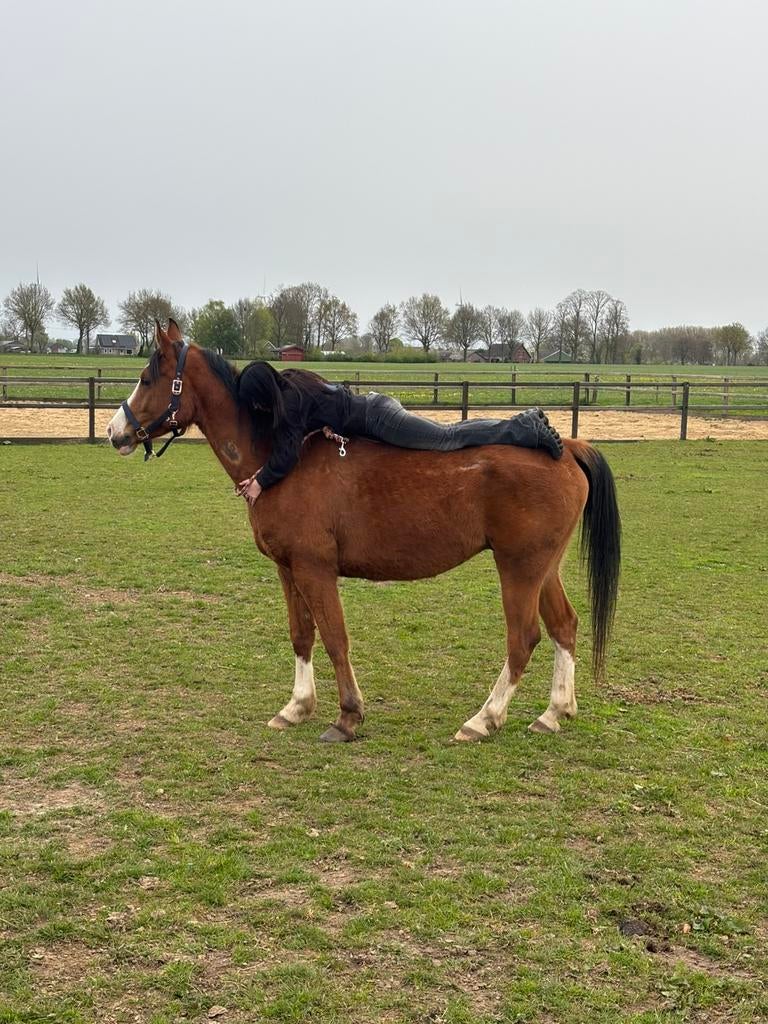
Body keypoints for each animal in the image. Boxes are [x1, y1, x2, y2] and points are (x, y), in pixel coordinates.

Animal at [106, 320, 620, 743]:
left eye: (147, 378)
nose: (115, 432)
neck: (278, 457)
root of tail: (567, 448)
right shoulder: (289, 570)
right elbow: (302, 635)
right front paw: (297, 707)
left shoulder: (315, 570)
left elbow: (335, 638)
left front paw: (348, 716)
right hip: (542, 568)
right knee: (563, 626)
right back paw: (554, 712)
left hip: (519, 568)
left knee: (523, 638)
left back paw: (483, 719)